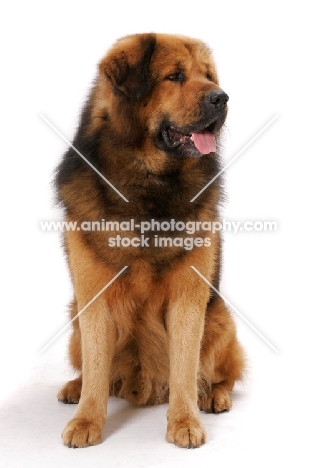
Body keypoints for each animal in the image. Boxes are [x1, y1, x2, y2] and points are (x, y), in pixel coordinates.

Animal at [55, 31, 244, 448]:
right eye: (175, 76)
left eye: (208, 76)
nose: (222, 97)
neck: (149, 183)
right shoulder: (93, 296)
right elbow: (96, 366)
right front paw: (86, 420)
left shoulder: (188, 297)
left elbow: (185, 367)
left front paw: (185, 422)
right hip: (74, 322)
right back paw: (74, 388)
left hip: (220, 321)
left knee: (225, 374)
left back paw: (214, 396)